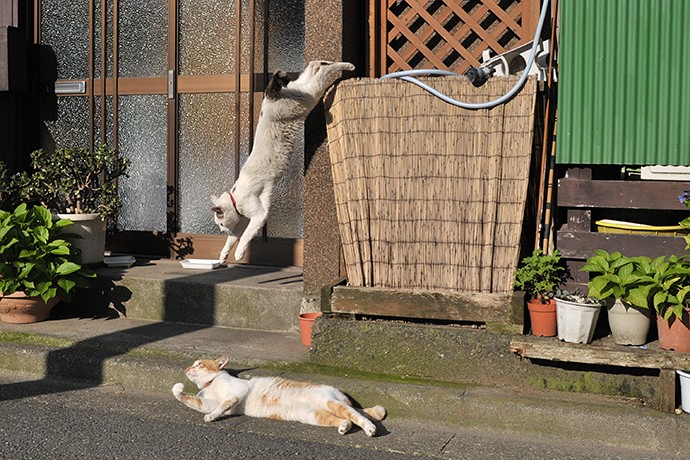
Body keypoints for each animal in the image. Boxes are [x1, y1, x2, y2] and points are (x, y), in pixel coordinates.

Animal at [170, 354, 384, 436]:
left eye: (199, 364)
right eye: (192, 365)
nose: (187, 368)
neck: (211, 384)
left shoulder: (239, 390)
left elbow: (225, 404)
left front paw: (213, 416)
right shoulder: (207, 402)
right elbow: (192, 400)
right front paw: (178, 388)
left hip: (330, 401)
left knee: (357, 415)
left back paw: (370, 429)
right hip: (313, 416)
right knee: (345, 419)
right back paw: (344, 427)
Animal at [210, 60, 354, 262]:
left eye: (221, 224)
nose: (222, 230)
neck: (236, 200)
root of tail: (270, 100)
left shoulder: (259, 215)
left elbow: (245, 236)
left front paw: (238, 254)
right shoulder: (244, 220)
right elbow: (233, 240)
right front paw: (223, 256)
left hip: (310, 96)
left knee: (322, 71)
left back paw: (348, 67)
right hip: (304, 90)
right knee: (313, 67)